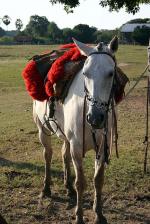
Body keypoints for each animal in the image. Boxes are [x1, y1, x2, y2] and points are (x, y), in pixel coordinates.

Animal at [32, 36, 118, 223]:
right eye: (85, 73)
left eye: (111, 73)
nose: (95, 117)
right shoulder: (77, 148)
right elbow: (81, 182)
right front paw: (79, 216)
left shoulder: (102, 146)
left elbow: (98, 180)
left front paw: (99, 213)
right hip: (42, 130)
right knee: (47, 155)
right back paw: (46, 188)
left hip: (66, 136)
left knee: (64, 154)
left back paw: (68, 186)